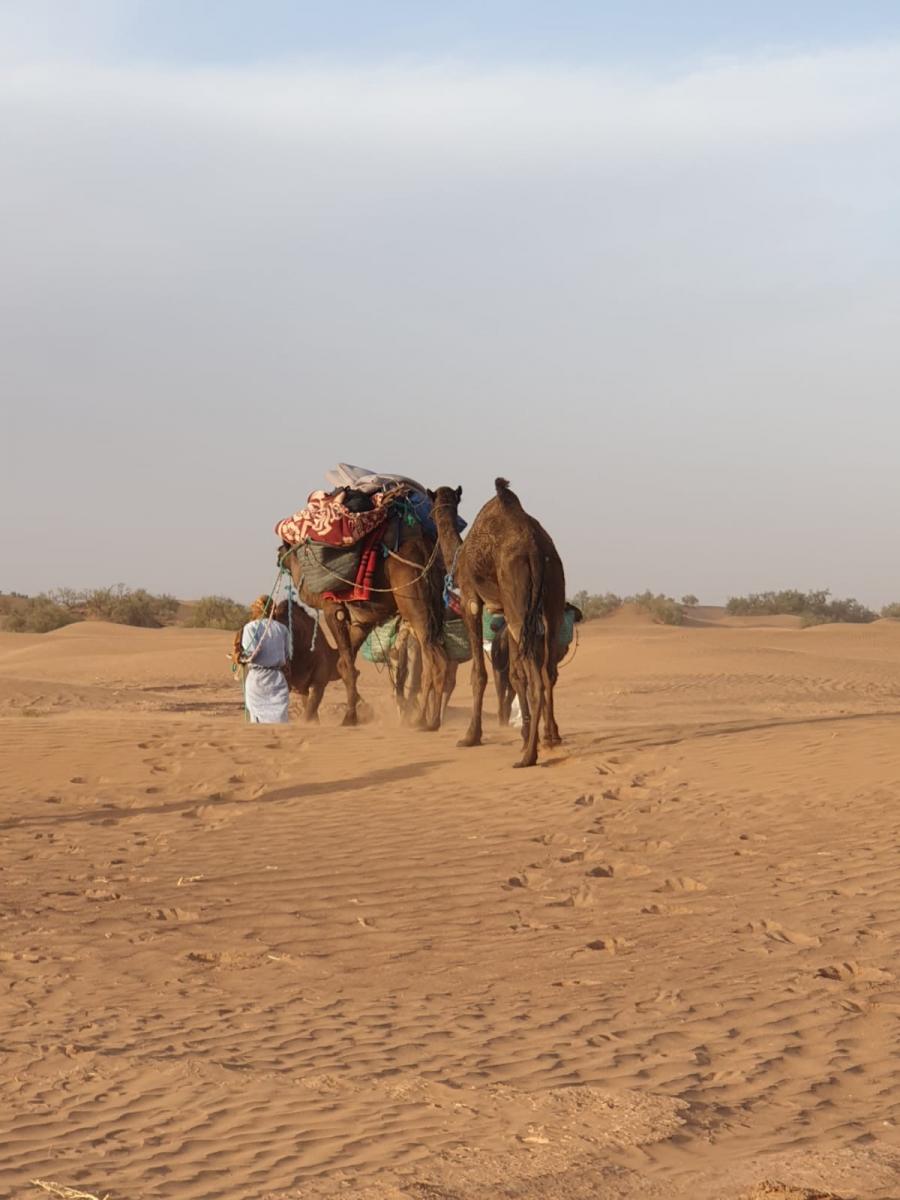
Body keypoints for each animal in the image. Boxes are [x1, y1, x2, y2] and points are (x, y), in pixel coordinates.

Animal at [278, 528, 448, 729]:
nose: (279, 552)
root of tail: (423, 549)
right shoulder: (363, 620)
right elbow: (343, 664)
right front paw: (353, 714)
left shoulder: (331, 608)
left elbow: (346, 665)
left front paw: (348, 718)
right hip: (435, 602)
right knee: (435, 661)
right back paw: (428, 720)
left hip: (413, 601)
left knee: (433, 659)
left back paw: (424, 721)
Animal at [427, 475, 564, 763]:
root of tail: (536, 550)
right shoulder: (503, 609)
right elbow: (515, 674)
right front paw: (523, 732)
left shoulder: (470, 599)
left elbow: (479, 674)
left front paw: (471, 736)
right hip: (550, 597)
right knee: (548, 670)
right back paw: (551, 736)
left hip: (516, 595)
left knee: (537, 678)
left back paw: (529, 756)